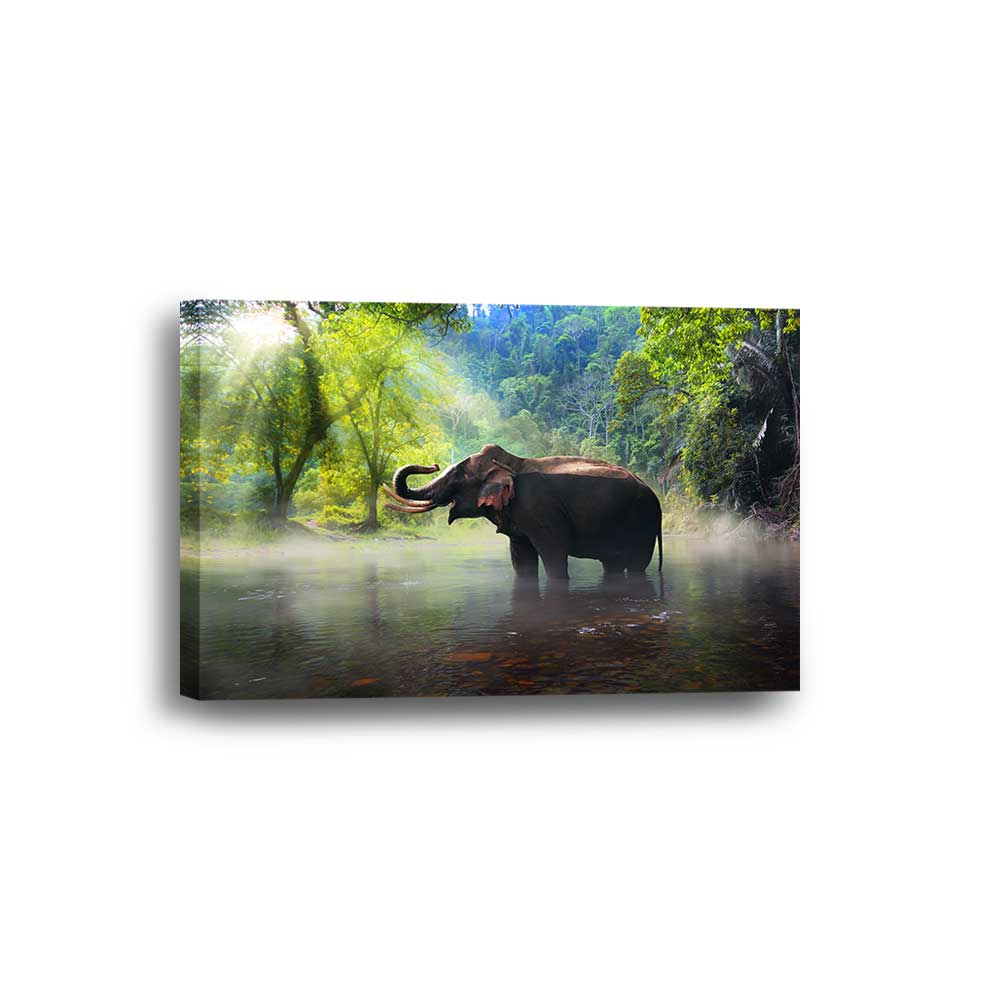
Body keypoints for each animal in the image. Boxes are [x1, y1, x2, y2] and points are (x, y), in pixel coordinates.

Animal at [384, 444, 663, 581]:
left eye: (457, 478)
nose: (434, 464)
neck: (512, 463)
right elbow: (521, 558)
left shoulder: (541, 511)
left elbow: (553, 554)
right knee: (612, 564)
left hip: (643, 522)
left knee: (637, 565)